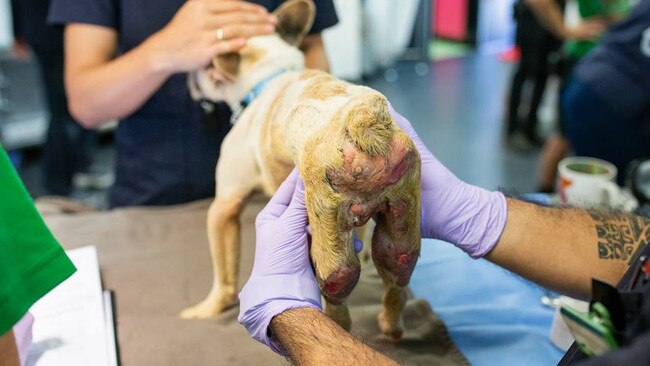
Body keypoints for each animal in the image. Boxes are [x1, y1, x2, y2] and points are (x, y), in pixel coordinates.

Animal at [178, 0, 420, 338]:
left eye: (205, 68)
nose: (189, 77)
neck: (271, 75)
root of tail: (362, 119)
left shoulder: (224, 207)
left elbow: (223, 277)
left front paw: (207, 309)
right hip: (400, 228)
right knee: (397, 277)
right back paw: (390, 323)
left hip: (328, 240)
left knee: (339, 283)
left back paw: (337, 323)